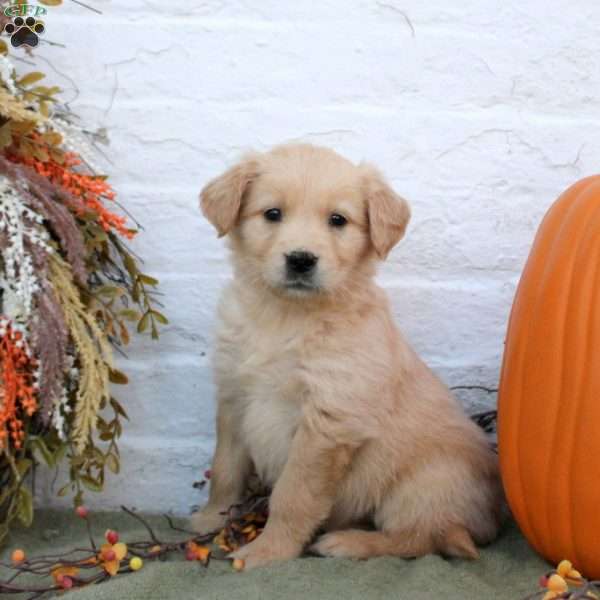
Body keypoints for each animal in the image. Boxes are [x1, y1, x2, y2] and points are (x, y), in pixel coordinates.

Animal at [193, 143, 502, 568]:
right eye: (272, 213)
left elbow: (293, 494)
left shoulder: (328, 421)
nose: (301, 259)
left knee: (424, 539)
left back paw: (347, 543)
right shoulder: (234, 398)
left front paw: (268, 551)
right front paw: (210, 518)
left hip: (425, 482)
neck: (285, 316)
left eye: (337, 220)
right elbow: (224, 468)